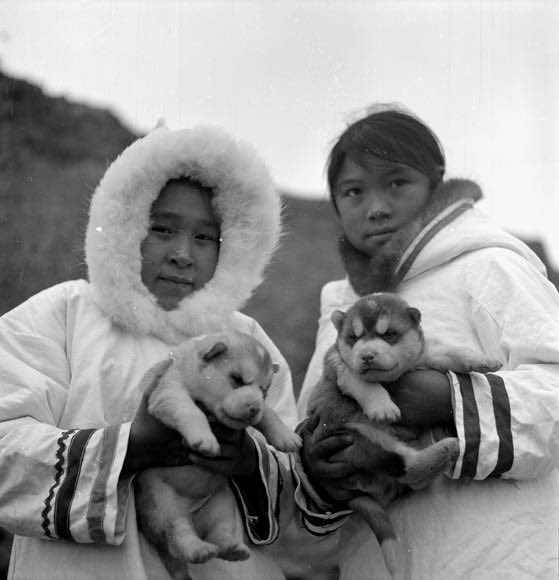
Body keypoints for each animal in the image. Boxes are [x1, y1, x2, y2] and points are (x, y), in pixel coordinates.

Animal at [136, 330, 302, 580]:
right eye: (237, 379)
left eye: (264, 391)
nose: (254, 408)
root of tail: (192, 512)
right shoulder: (169, 391)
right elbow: (190, 411)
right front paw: (204, 439)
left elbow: (270, 414)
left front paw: (286, 437)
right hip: (162, 503)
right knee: (178, 535)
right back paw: (198, 549)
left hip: (221, 502)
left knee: (220, 532)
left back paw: (231, 548)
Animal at [310, 294, 504, 576]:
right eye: (353, 337)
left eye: (389, 334)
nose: (367, 356)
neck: (399, 373)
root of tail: (344, 493)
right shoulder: (341, 367)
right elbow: (366, 384)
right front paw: (383, 408)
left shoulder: (428, 353)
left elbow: (453, 351)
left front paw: (483, 360)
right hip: (359, 437)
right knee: (406, 465)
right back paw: (447, 448)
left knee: (412, 478)